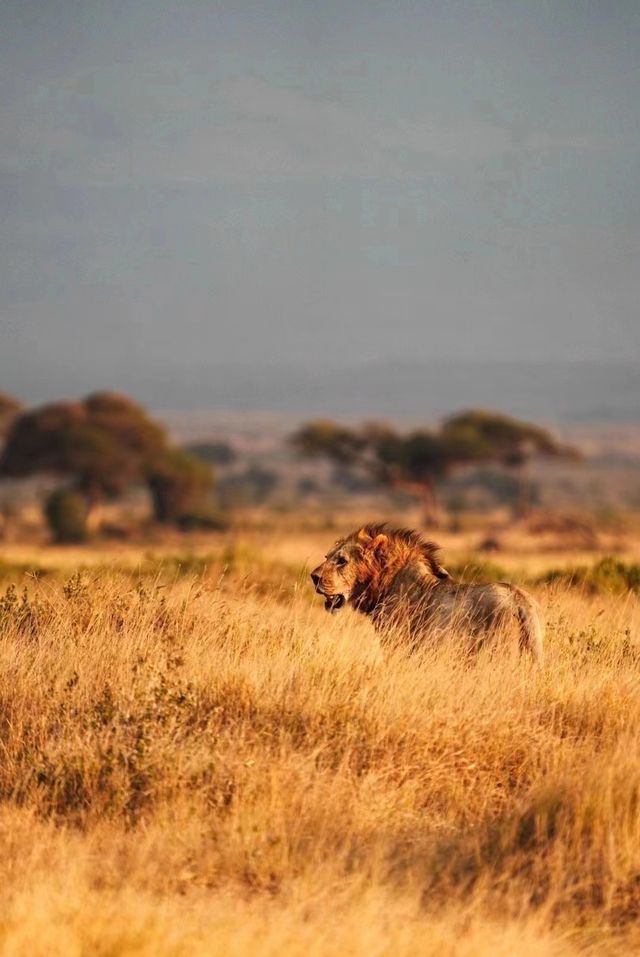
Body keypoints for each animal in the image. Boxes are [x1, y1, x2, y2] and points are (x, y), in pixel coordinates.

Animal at [312, 524, 544, 664]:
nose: (313, 577)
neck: (383, 583)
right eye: (327, 556)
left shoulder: (397, 644)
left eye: (342, 561)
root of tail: (519, 601)